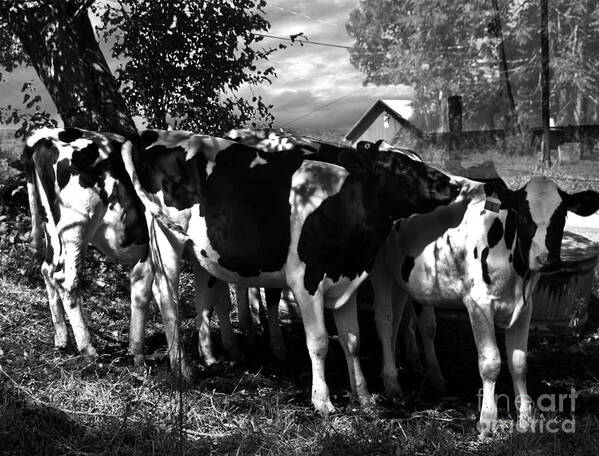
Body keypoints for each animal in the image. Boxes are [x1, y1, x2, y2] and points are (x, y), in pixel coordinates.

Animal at [120, 129, 468, 414]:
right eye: (401, 167)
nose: (452, 183)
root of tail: (153, 134)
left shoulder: (347, 283)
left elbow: (352, 341)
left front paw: (365, 396)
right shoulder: (306, 280)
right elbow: (320, 342)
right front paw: (323, 401)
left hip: (185, 247)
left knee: (154, 287)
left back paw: (149, 356)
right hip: (166, 237)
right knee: (168, 299)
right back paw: (182, 368)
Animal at [372, 174, 599, 434]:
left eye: (562, 217)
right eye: (523, 216)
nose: (546, 259)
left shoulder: (525, 307)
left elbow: (519, 363)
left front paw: (525, 418)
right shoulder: (477, 304)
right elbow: (491, 362)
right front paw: (488, 421)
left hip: (403, 280)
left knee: (406, 322)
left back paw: (428, 376)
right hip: (379, 268)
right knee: (385, 321)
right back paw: (391, 383)